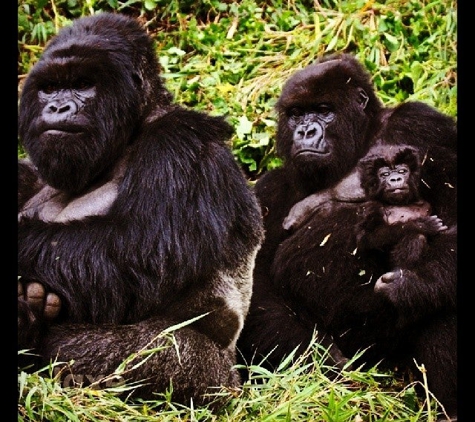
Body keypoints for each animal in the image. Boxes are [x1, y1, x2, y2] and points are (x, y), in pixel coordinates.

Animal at [17, 12, 264, 408]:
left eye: (83, 84)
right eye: (50, 88)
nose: (57, 108)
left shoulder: (182, 142)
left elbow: (137, 250)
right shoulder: (26, 173)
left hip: (214, 382)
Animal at [240, 53, 460, 418]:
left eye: (324, 110)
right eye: (296, 113)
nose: (305, 131)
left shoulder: (424, 125)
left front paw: (414, 284)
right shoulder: (268, 191)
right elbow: (255, 286)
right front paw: (316, 356)